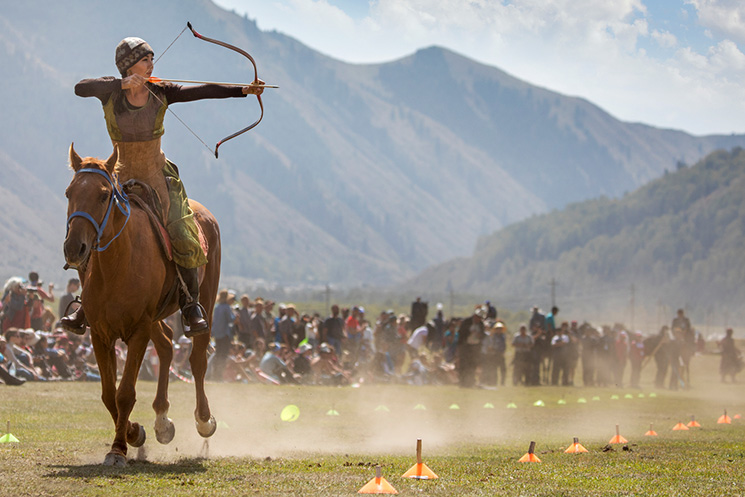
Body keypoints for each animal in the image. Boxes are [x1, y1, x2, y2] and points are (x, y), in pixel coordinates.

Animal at [63, 143, 221, 464]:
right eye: (69, 193)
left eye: (103, 195)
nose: (74, 248)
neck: (116, 266)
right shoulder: (101, 334)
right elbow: (108, 394)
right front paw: (134, 433)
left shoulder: (138, 330)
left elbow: (124, 393)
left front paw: (118, 448)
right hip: (156, 317)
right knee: (167, 345)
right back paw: (162, 421)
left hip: (205, 300)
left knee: (197, 359)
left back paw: (204, 420)